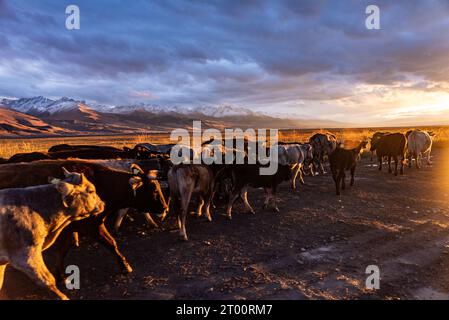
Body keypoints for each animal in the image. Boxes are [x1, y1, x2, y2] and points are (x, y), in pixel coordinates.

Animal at [0, 160, 168, 280]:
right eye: (153, 189)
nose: (165, 208)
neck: (103, 184)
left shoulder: (68, 230)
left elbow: (63, 250)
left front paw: (60, 273)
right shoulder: (92, 226)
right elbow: (111, 243)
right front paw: (125, 266)